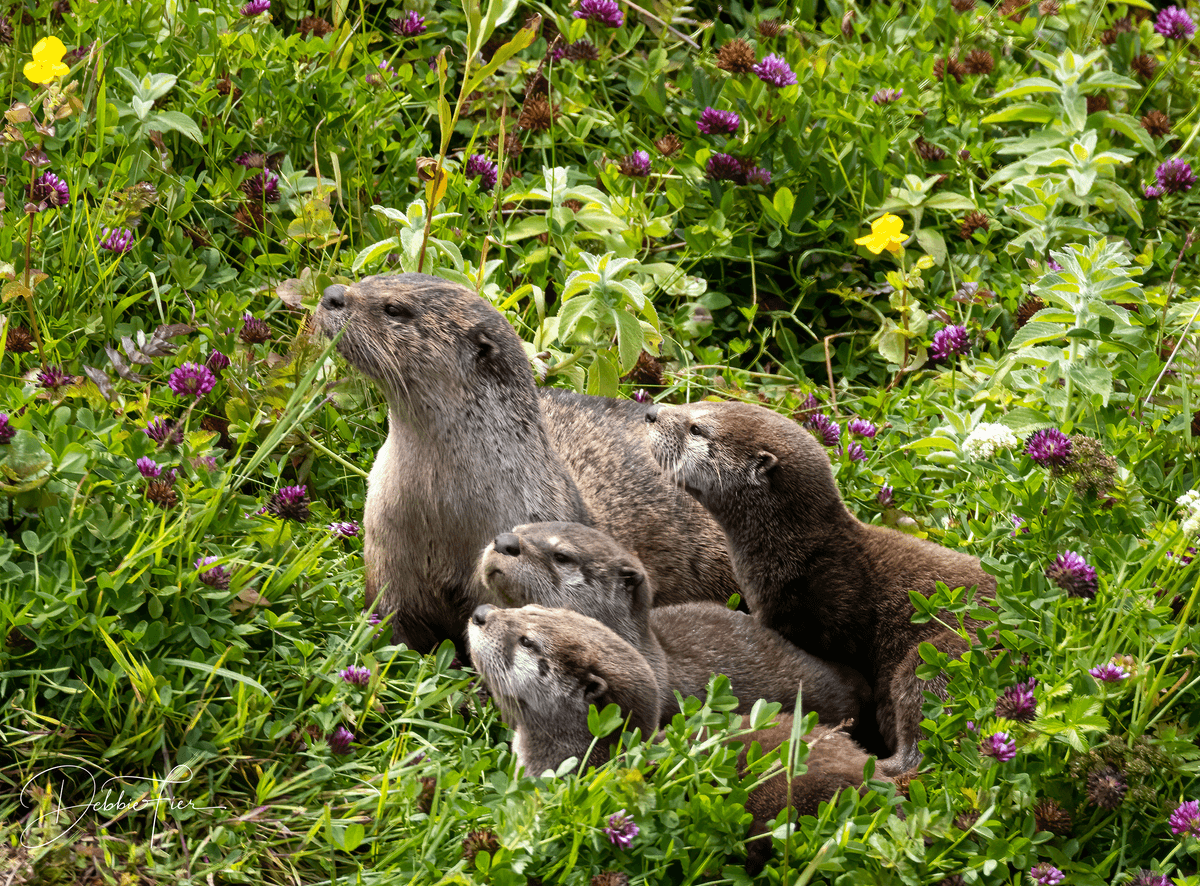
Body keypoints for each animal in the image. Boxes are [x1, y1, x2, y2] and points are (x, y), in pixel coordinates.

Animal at [646, 400, 995, 775]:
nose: (651, 412)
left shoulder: (826, 609)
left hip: (939, 658)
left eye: (697, 428)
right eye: (694, 403)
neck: (802, 554)